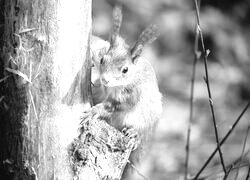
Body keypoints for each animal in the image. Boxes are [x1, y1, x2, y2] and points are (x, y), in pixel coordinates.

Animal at [85, 2, 162, 179]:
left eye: (125, 70)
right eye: (102, 60)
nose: (105, 80)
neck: (111, 88)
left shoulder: (133, 94)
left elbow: (116, 105)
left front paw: (95, 110)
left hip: (147, 119)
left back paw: (134, 135)